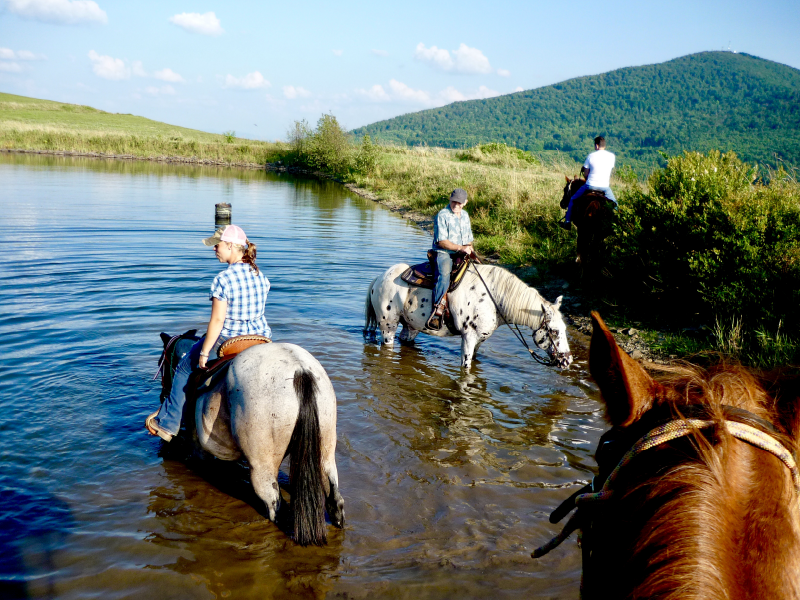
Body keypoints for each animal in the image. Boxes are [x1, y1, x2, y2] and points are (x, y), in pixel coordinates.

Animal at [157, 336, 344, 548]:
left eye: (162, 362)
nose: (162, 395)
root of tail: (300, 370)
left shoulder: (198, 448)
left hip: (263, 467)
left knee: (275, 506)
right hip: (325, 452)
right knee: (334, 497)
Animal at [366, 264, 572, 368]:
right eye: (554, 331)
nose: (567, 360)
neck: (494, 298)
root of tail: (379, 278)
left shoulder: (480, 340)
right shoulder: (469, 338)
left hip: (411, 327)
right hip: (388, 328)